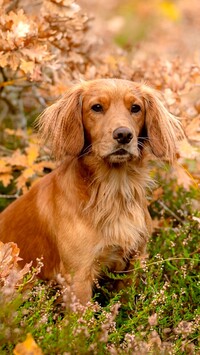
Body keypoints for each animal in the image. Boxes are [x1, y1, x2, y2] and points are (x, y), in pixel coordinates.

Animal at [0, 79, 184, 304]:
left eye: (135, 108)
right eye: (96, 107)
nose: (123, 135)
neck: (113, 190)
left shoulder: (134, 261)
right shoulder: (78, 274)